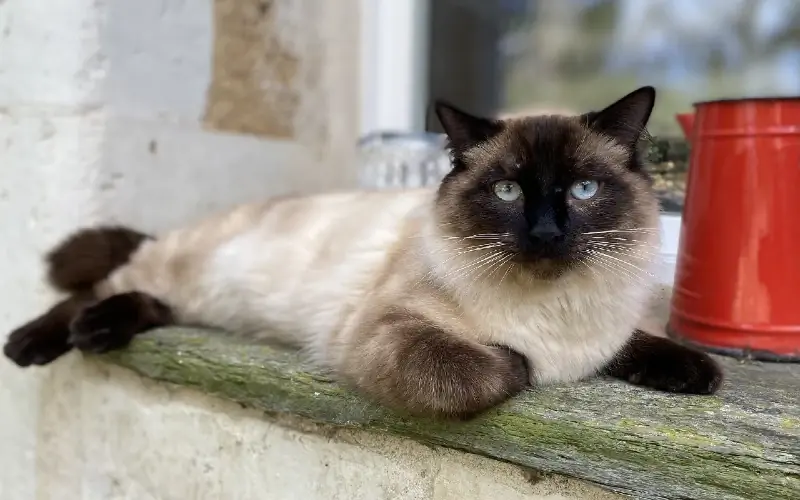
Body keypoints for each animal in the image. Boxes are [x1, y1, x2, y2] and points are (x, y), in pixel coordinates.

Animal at [3, 86, 720, 418]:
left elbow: (637, 343)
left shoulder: (603, 335)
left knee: (146, 303)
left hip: (196, 299)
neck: (555, 312)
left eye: (583, 190)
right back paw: (41, 341)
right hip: (185, 273)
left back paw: (97, 331)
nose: (546, 233)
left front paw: (698, 374)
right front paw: (521, 364)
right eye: (509, 190)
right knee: (90, 290)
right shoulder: (391, 330)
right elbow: (494, 368)